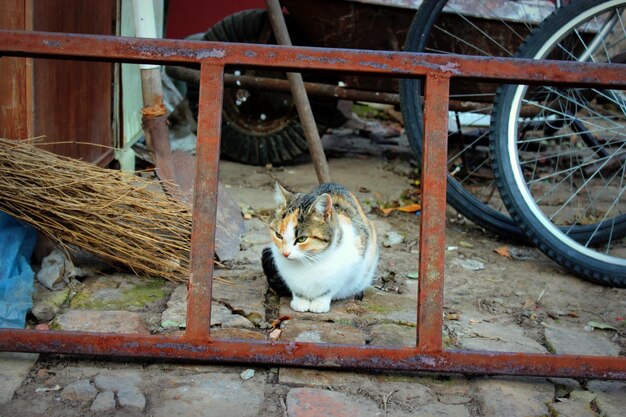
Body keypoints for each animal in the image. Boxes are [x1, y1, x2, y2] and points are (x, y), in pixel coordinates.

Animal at [262, 182, 376, 312]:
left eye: (302, 239)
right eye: (278, 235)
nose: (285, 253)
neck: (309, 261)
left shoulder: (352, 264)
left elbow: (330, 289)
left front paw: (319, 303)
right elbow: (296, 289)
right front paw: (300, 301)